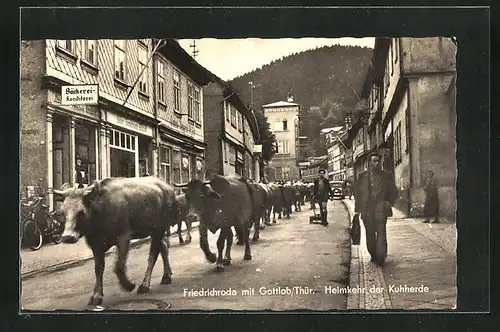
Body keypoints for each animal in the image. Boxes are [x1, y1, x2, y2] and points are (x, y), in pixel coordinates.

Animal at [52, 176, 177, 306]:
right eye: (63, 212)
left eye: (81, 212)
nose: (67, 237)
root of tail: (166, 186)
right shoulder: (95, 245)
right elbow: (98, 269)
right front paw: (96, 296)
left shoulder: (124, 238)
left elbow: (119, 267)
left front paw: (129, 285)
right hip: (156, 232)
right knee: (164, 247)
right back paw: (166, 276)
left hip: (159, 229)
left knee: (153, 256)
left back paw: (144, 285)